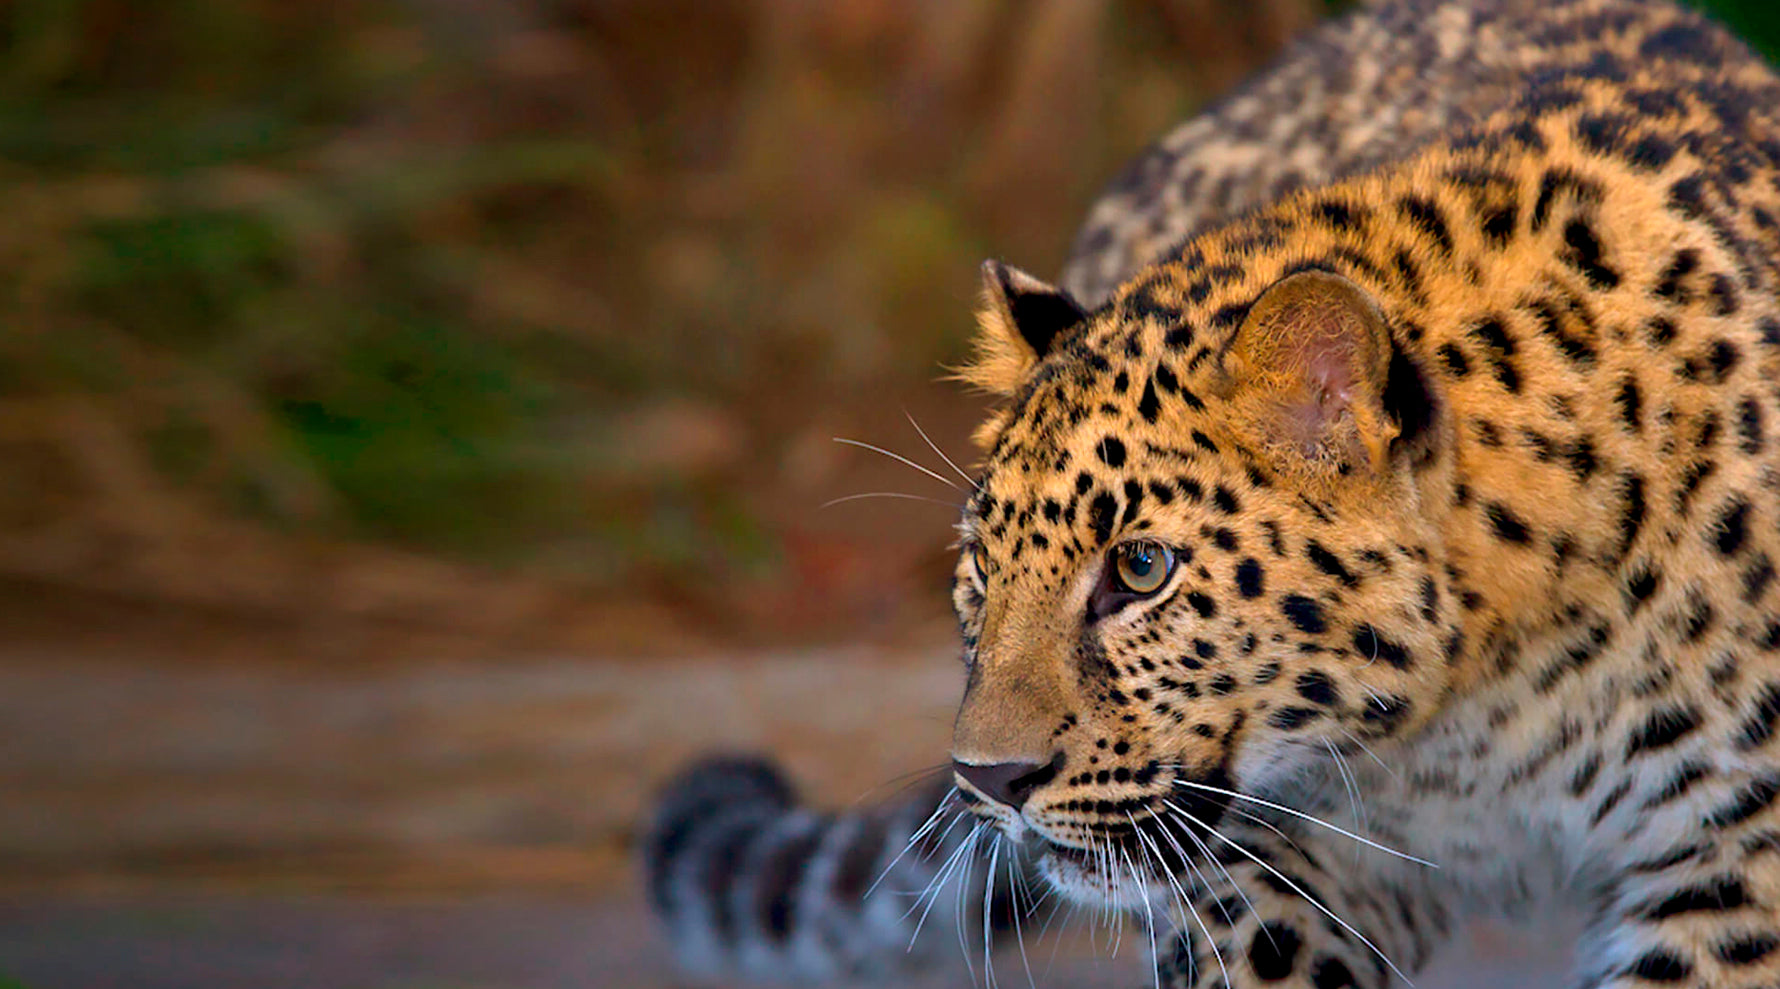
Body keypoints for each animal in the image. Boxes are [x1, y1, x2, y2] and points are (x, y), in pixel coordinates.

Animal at [647, 3, 1780, 981]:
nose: (986, 782)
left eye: (1140, 568)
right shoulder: (1268, 854)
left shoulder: (1734, 859)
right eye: (979, 566)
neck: (1478, 705)